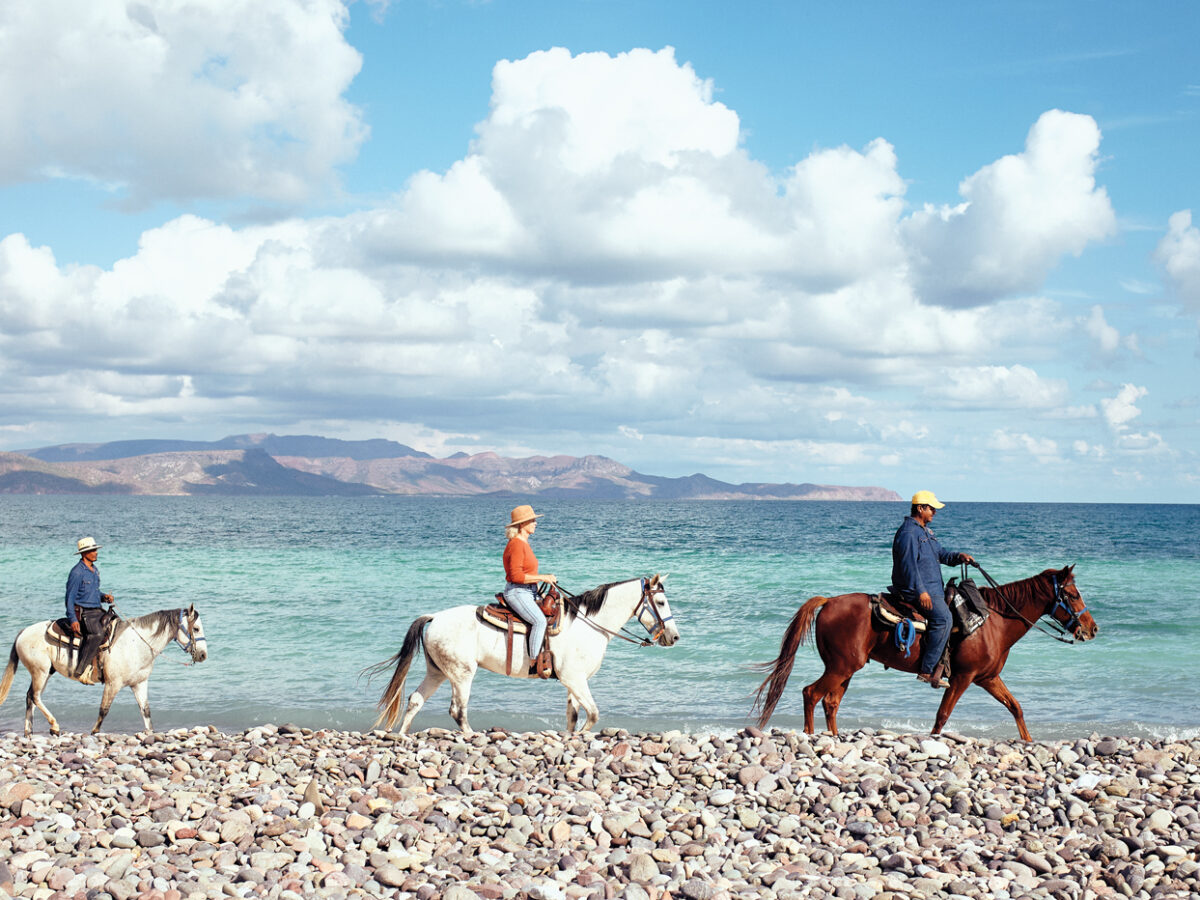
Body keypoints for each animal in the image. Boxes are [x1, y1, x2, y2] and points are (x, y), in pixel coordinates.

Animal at [0, 607, 208, 739]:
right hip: (40, 672)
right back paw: (54, 726)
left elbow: (146, 711)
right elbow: (104, 710)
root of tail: (23, 632)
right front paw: (94, 731)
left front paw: (151, 733)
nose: (203, 655)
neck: (136, 644)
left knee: (30, 697)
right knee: (35, 696)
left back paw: (29, 731)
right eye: (196, 628)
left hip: (45, 673)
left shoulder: (139, 684)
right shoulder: (112, 684)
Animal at [367, 573, 676, 734]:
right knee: (457, 710)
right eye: (660, 601)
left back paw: (404, 737)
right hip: (461, 674)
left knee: (416, 700)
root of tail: (434, 617)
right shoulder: (575, 679)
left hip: (438, 672)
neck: (588, 624)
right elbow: (593, 714)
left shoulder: (573, 682)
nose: (674, 637)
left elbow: (573, 716)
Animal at [748, 566, 1099, 744]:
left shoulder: (988, 678)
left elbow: (1016, 707)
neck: (993, 621)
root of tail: (829, 602)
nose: (1092, 628)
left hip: (845, 669)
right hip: (840, 667)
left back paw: (833, 738)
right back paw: (810, 737)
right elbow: (942, 715)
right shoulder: (962, 678)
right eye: (1072, 594)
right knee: (811, 693)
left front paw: (1027, 741)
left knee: (830, 702)